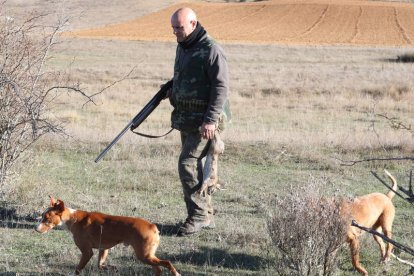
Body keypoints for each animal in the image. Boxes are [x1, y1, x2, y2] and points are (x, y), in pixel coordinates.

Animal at [35, 197, 178, 274]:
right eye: (42, 216)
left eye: (47, 218)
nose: (36, 229)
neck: (72, 218)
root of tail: (152, 226)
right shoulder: (104, 249)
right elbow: (101, 265)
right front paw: (112, 269)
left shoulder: (87, 252)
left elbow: (77, 270)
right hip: (148, 256)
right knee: (158, 269)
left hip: (144, 255)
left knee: (167, 263)